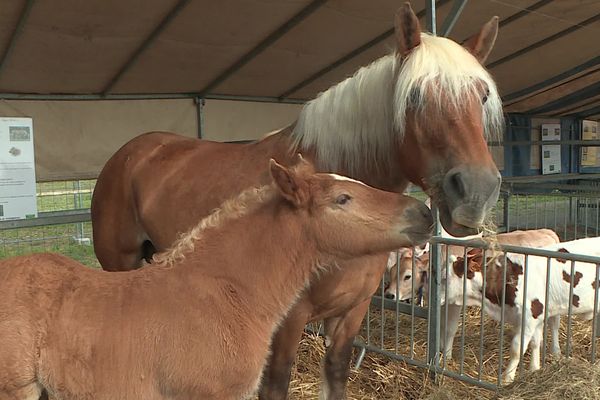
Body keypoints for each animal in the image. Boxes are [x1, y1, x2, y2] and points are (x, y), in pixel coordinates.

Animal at [94, 3, 504, 400]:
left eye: (482, 95)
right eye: (415, 95)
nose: (476, 191)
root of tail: (131, 152)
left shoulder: (351, 314)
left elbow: (336, 376)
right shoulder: (287, 321)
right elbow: (275, 385)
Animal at [448, 236, 600, 382]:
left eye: (445, 278)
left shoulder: (531, 315)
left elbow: (517, 348)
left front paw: (507, 379)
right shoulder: (535, 317)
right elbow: (535, 342)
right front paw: (534, 369)